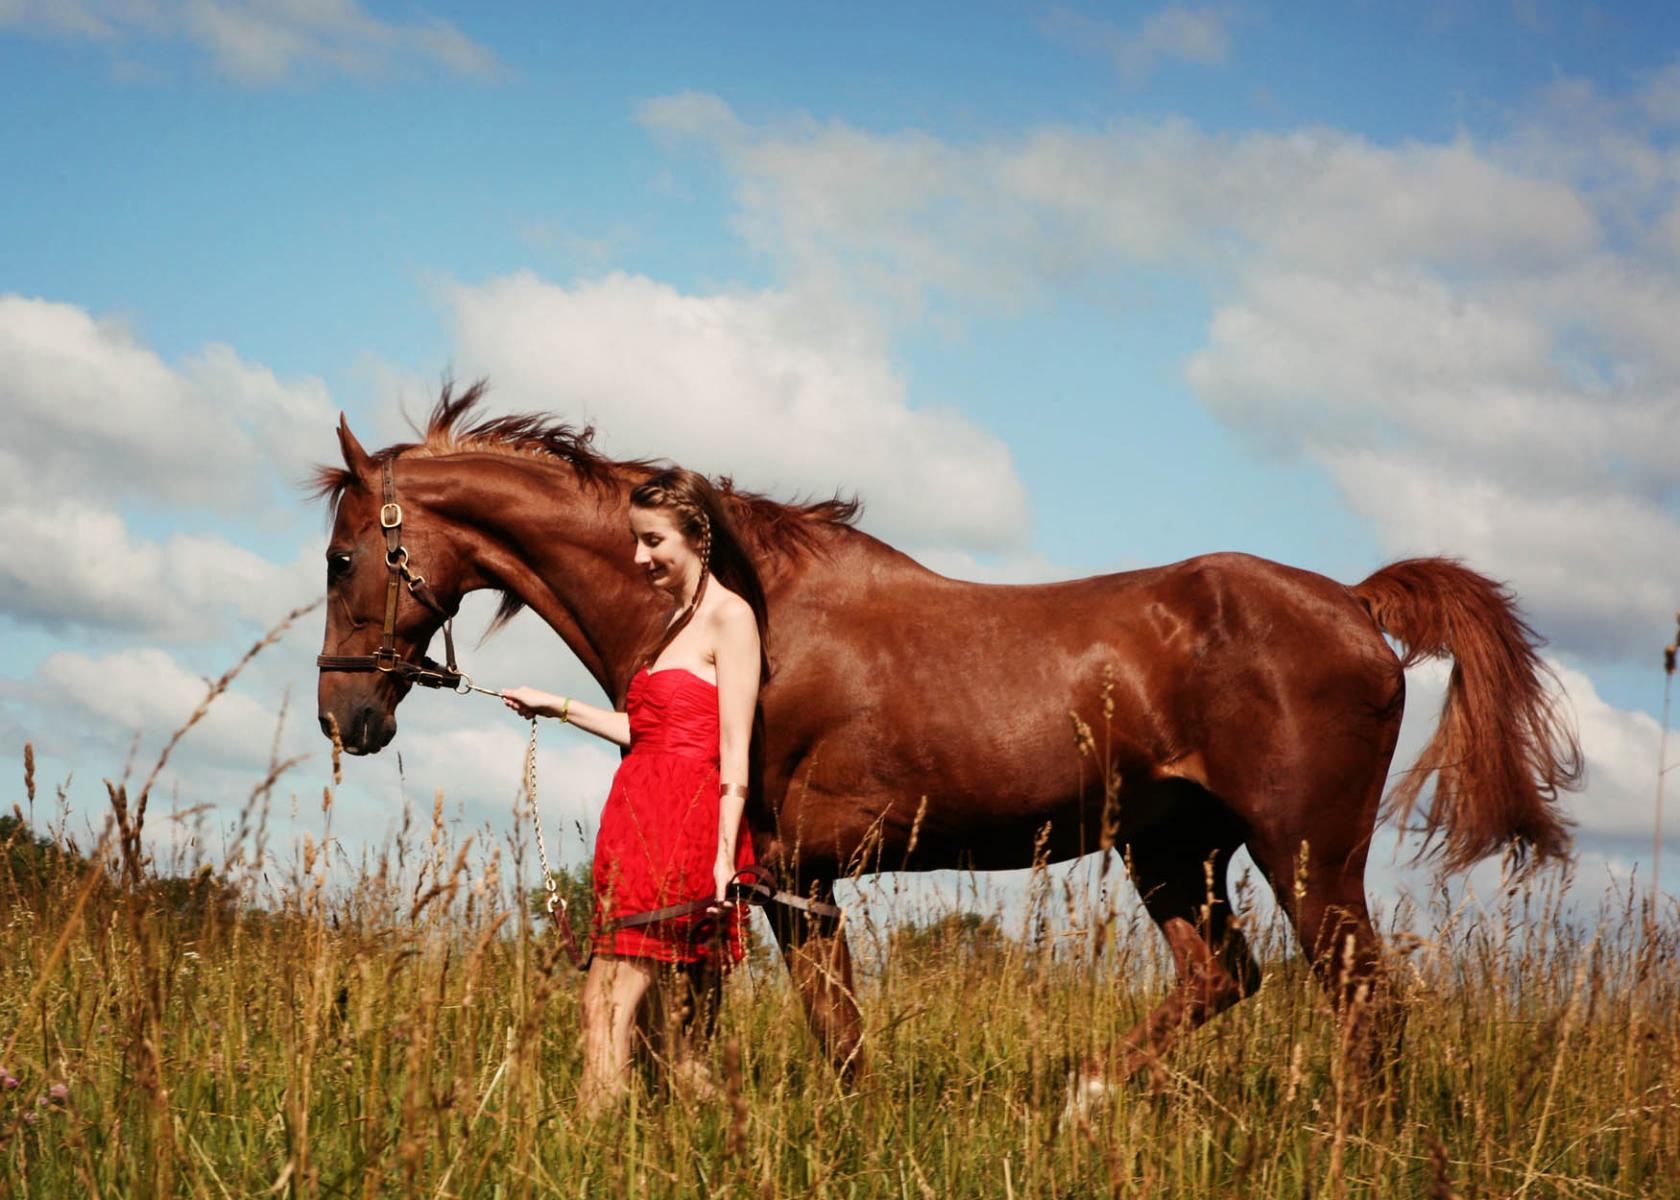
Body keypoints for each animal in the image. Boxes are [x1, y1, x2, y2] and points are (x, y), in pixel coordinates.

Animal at [317, 381, 1585, 1082]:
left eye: (338, 558)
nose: (347, 714)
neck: (738, 606)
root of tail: (1360, 605)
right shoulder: (770, 886)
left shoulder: (786, 878)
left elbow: (821, 1040)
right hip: (1175, 852)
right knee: (1222, 979)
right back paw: (1080, 1100)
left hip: (1309, 858)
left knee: (1364, 1007)